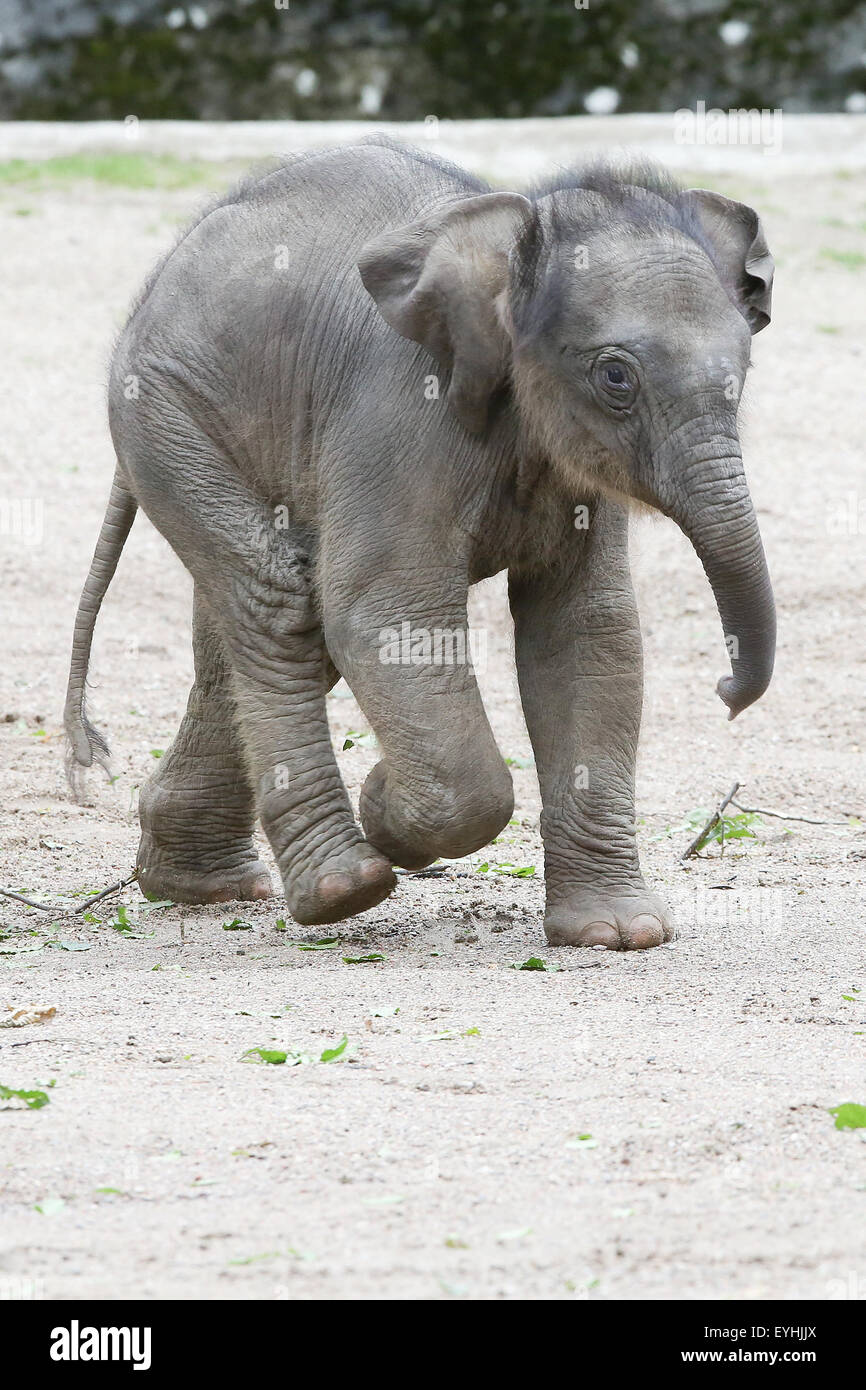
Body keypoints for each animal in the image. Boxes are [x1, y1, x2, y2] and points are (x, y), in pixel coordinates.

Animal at [64, 135, 778, 950]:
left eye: (744, 371)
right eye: (616, 377)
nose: (725, 691)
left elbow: (589, 631)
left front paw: (617, 935)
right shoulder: (400, 411)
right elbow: (386, 611)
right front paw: (384, 807)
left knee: (252, 626)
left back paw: (198, 885)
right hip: (166, 416)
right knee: (285, 605)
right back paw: (340, 890)